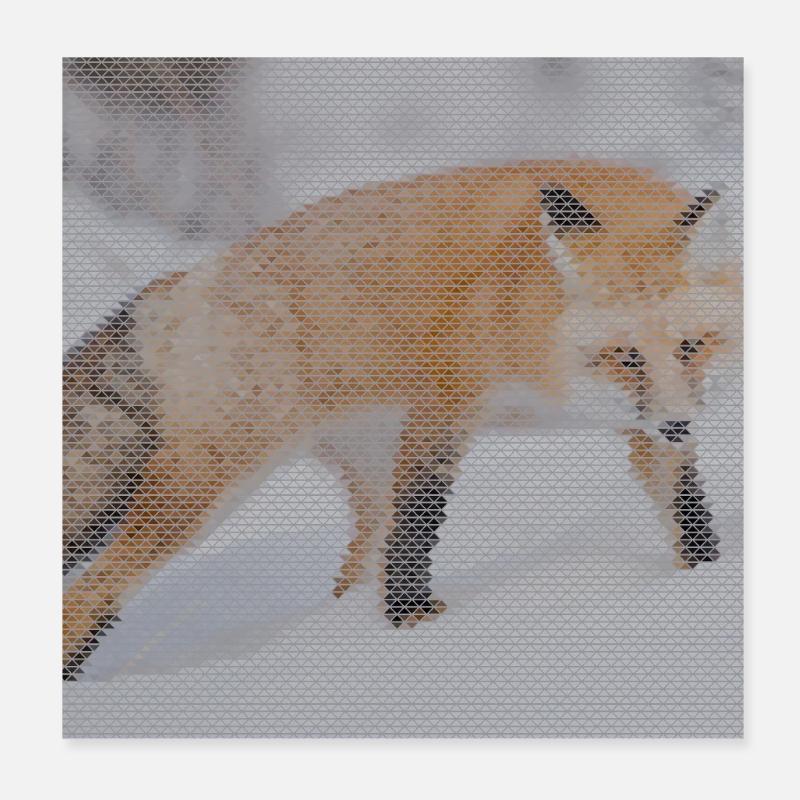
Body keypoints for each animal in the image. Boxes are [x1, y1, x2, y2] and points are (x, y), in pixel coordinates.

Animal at [62, 159, 739, 678]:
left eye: (691, 346)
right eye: (626, 355)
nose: (679, 423)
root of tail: (178, 283)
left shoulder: (645, 422)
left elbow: (687, 507)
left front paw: (706, 576)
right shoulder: (443, 407)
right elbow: (419, 525)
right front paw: (413, 621)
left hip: (360, 473)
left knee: (353, 572)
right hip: (204, 490)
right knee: (89, 594)